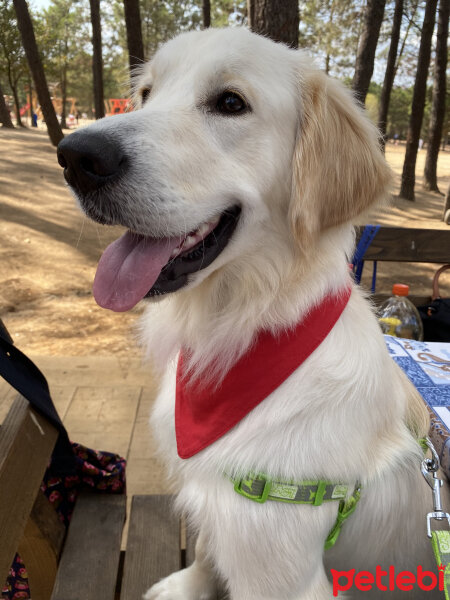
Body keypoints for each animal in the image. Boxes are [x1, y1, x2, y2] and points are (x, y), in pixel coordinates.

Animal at [57, 27, 442, 600]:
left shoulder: (276, 561)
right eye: (146, 93)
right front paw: (187, 585)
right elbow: (206, 548)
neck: (246, 328)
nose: (75, 155)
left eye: (231, 103)